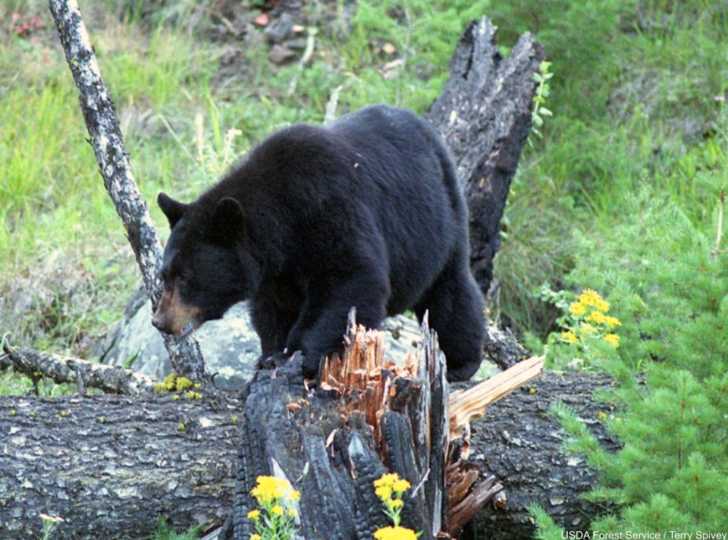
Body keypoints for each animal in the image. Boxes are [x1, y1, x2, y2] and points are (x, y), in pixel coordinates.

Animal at [152, 104, 485, 381]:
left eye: (186, 278)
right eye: (164, 274)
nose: (160, 321)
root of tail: (428, 131)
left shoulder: (330, 209)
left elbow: (349, 280)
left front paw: (303, 355)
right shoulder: (274, 273)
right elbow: (271, 309)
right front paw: (271, 355)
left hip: (440, 222)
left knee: (450, 292)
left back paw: (460, 362)